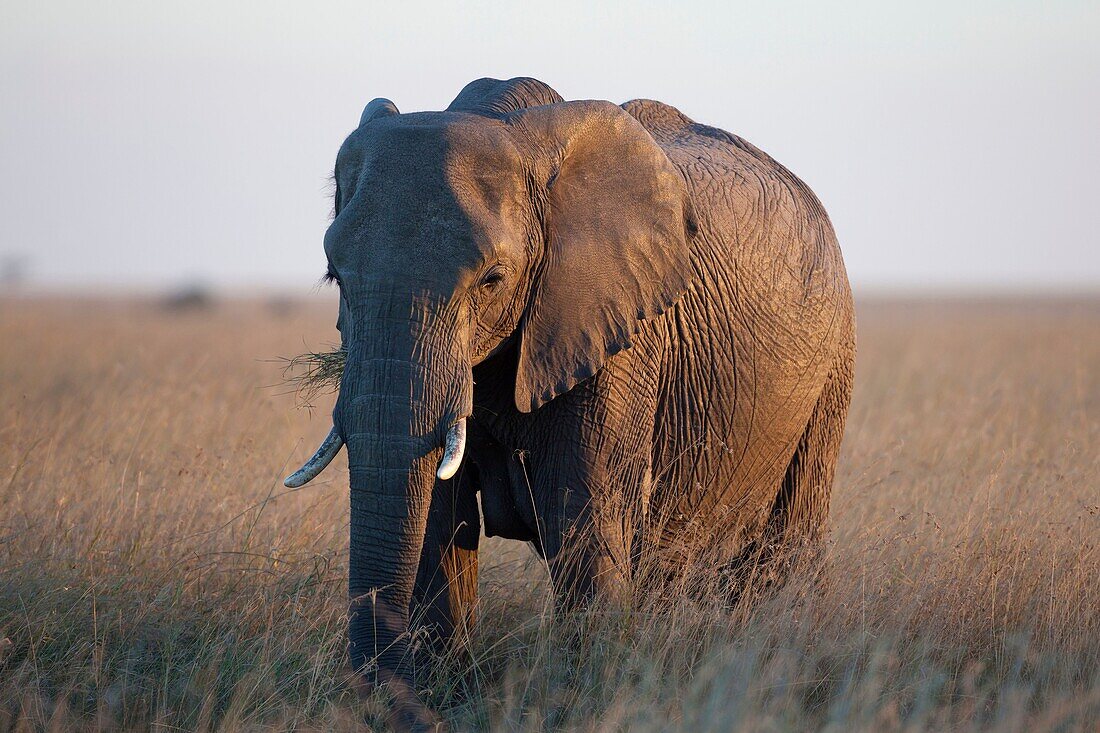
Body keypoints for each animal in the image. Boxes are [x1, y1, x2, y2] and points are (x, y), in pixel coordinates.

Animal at [281, 77, 849, 726]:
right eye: (335, 277)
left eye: (492, 279)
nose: (403, 712)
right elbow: (438, 523)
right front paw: (444, 698)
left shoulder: (618, 334)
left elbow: (583, 519)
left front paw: (583, 705)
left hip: (831, 367)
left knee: (787, 539)